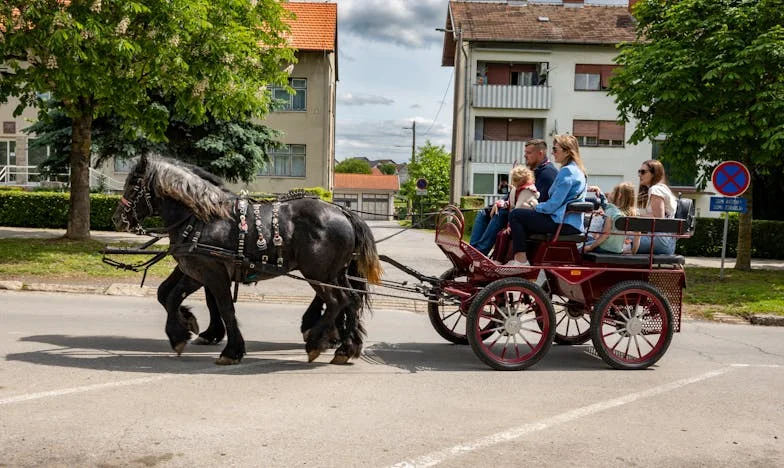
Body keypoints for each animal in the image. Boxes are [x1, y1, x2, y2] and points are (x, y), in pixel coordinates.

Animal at [112, 157, 382, 366]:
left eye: (133, 184)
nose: (118, 219)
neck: (203, 218)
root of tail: (344, 212)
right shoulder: (195, 270)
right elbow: (169, 296)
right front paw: (182, 331)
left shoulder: (211, 272)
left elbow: (224, 308)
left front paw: (230, 350)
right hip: (335, 273)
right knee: (351, 300)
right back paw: (345, 347)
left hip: (318, 273)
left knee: (338, 301)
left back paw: (317, 340)